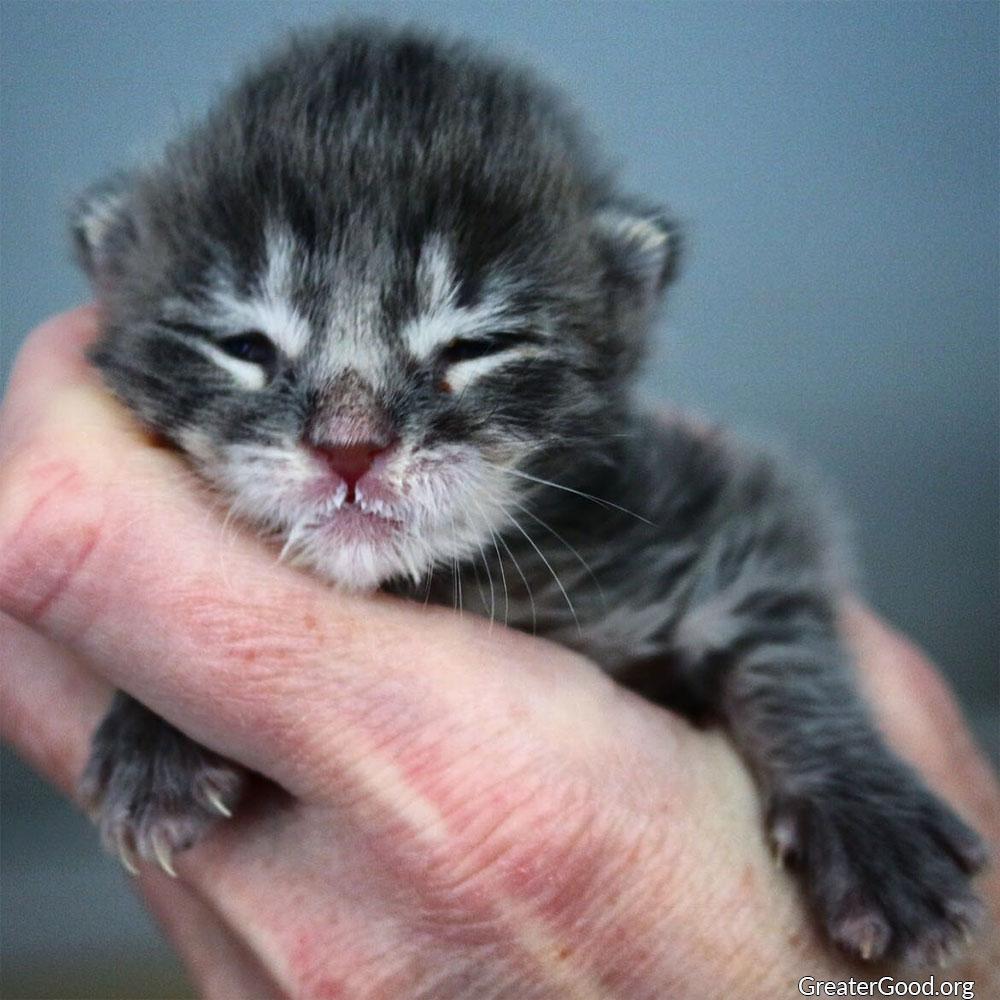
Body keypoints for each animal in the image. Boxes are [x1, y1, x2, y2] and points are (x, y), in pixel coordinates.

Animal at [72, 25, 984, 968]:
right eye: (244, 345)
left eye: (477, 346)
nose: (350, 447)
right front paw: (155, 735)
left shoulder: (733, 511)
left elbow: (785, 644)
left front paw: (871, 823)